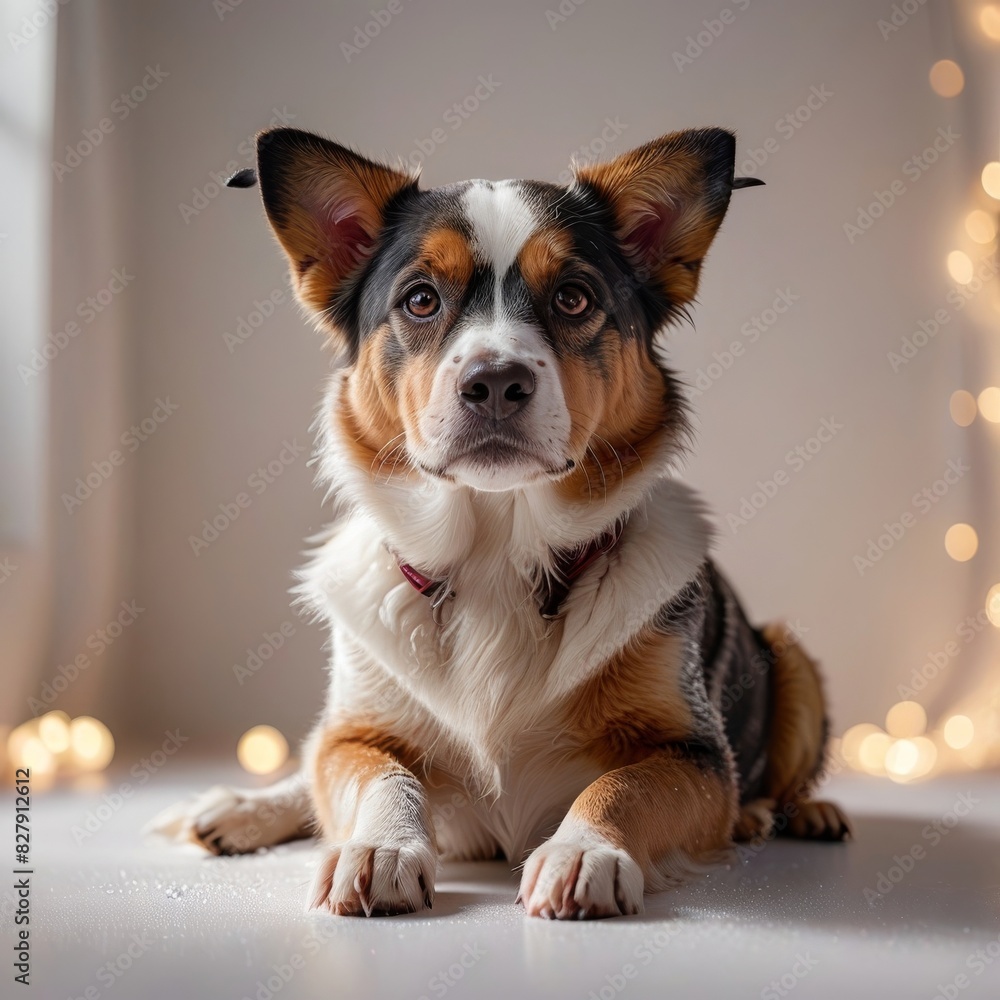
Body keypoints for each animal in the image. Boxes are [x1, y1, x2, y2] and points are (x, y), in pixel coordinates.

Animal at [152, 127, 848, 920]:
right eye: (421, 299)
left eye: (574, 297)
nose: (493, 382)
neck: (495, 555)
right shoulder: (356, 731)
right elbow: (382, 775)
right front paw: (381, 847)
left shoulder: (692, 752)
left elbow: (622, 785)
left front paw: (583, 851)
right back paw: (239, 807)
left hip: (791, 656)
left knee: (781, 779)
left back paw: (791, 813)